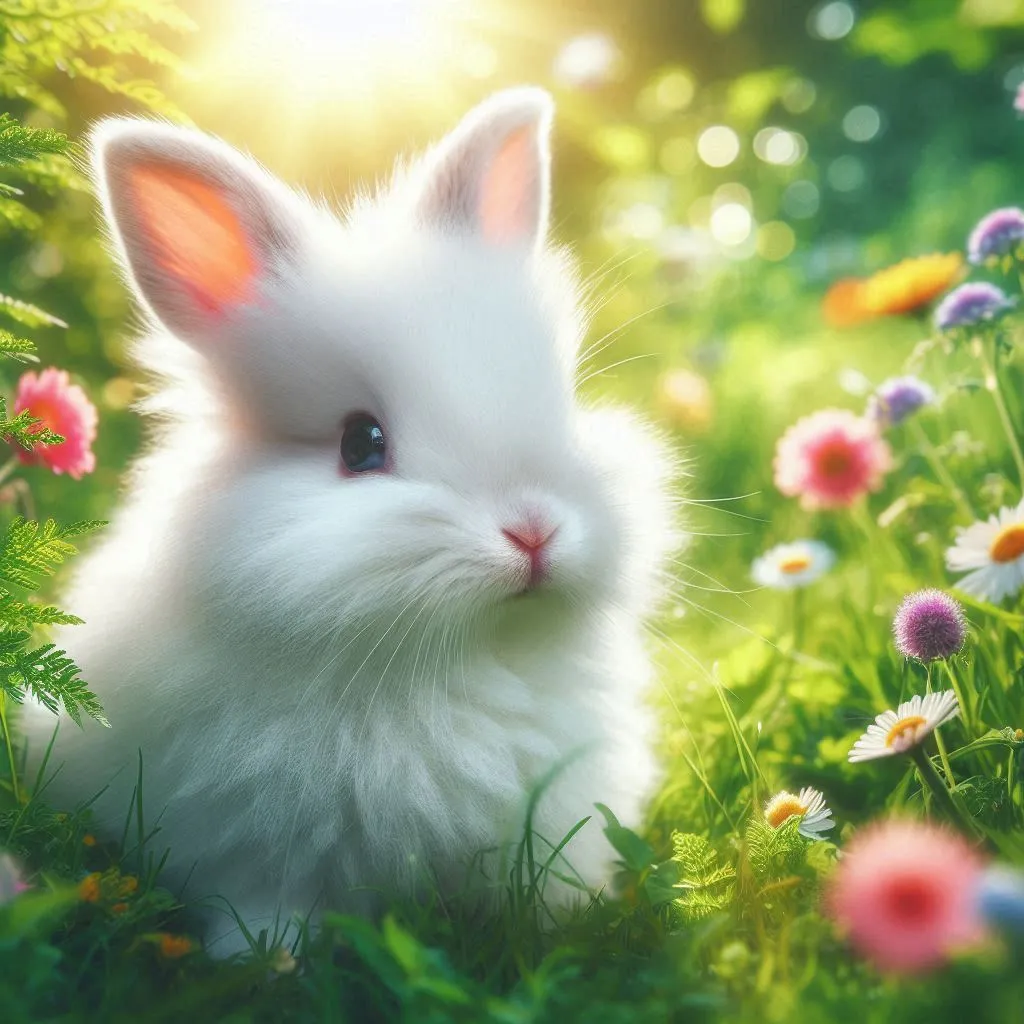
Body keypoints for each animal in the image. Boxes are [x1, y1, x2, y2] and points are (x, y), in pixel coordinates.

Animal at [20, 87, 679, 955]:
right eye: (360, 443)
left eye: (561, 409)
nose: (534, 533)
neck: (453, 660)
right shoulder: (255, 837)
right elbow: (263, 900)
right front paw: (263, 959)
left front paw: (566, 922)